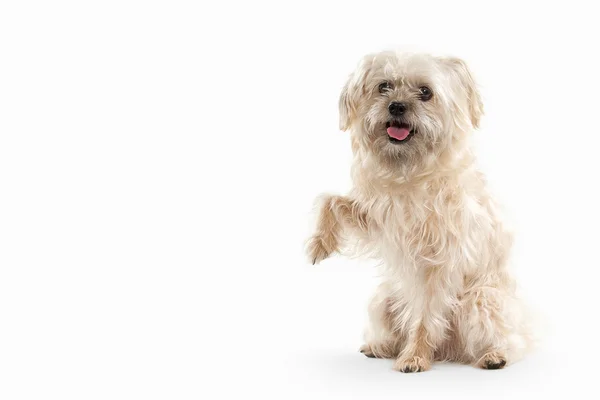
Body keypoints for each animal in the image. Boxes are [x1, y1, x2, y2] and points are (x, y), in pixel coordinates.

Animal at [308, 50, 532, 372]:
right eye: (384, 86)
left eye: (425, 92)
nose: (397, 105)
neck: (410, 173)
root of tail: (450, 351)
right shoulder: (378, 219)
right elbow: (330, 200)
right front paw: (319, 244)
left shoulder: (440, 263)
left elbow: (426, 317)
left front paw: (414, 356)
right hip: (384, 298)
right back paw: (379, 346)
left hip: (481, 298)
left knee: (508, 339)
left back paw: (493, 355)